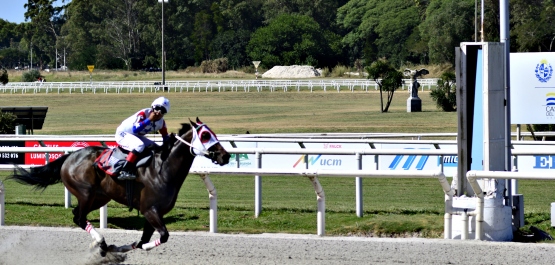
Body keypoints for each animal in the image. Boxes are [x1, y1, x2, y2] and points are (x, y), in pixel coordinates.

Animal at [7, 117, 228, 252]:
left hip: (99, 197)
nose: (225, 156)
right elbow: (163, 236)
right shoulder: (150, 210)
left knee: (78, 216)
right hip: (86, 193)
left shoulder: (153, 213)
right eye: (205, 135)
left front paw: (132, 246)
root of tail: (69, 157)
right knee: (79, 217)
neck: (163, 169)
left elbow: (145, 238)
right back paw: (101, 242)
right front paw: (135, 247)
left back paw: (102, 244)